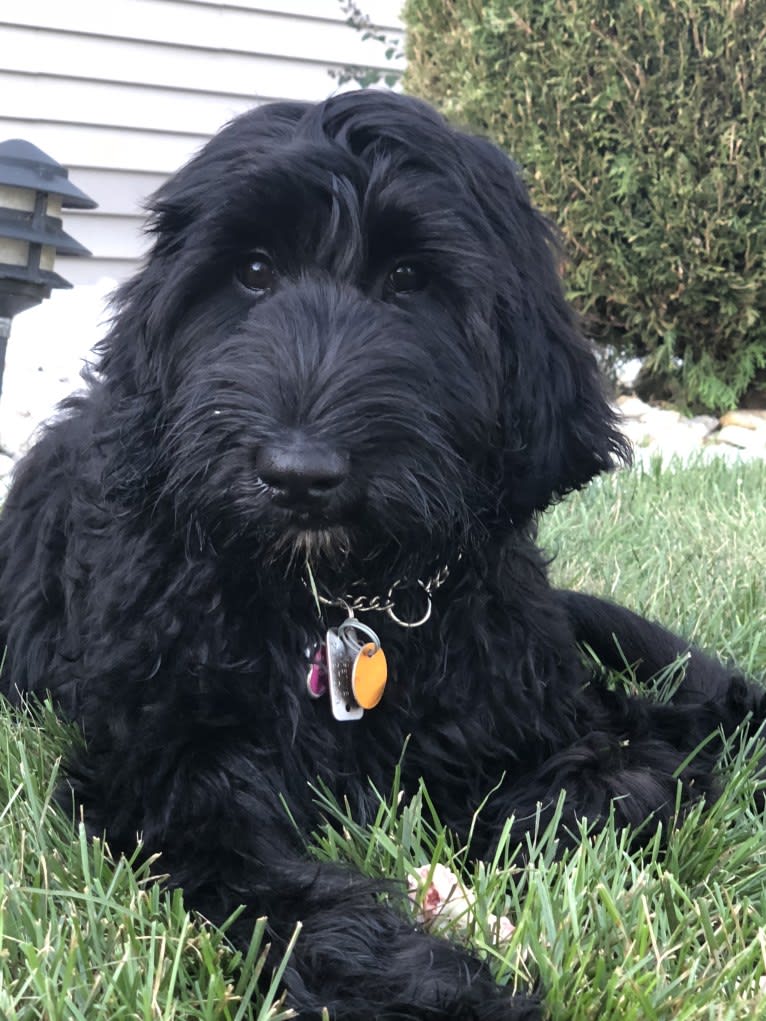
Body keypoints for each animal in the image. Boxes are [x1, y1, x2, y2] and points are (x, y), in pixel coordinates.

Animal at [0, 91, 763, 1016]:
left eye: (409, 280)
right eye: (252, 271)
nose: (298, 474)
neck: (336, 597)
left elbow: (621, 778)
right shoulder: (151, 768)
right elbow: (243, 870)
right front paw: (430, 986)